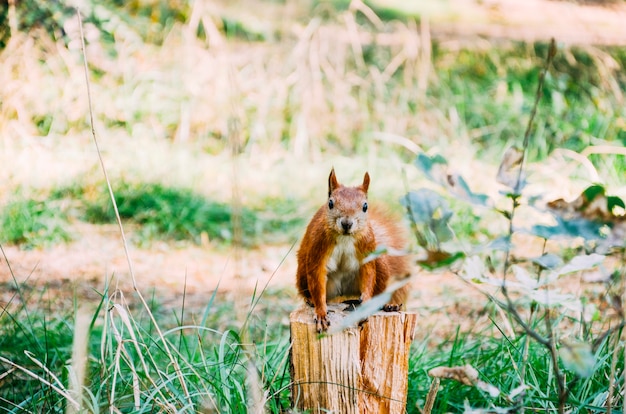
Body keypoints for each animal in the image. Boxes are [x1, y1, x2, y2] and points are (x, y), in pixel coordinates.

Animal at [296, 167, 410, 332]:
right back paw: (310, 300)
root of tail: (344, 294)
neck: (345, 237)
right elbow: (317, 279)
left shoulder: (368, 249)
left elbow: (369, 274)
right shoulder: (318, 248)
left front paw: (367, 303)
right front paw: (321, 312)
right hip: (303, 273)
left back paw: (388, 305)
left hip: (381, 265)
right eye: (330, 203)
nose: (347, 223)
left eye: (365, 206)